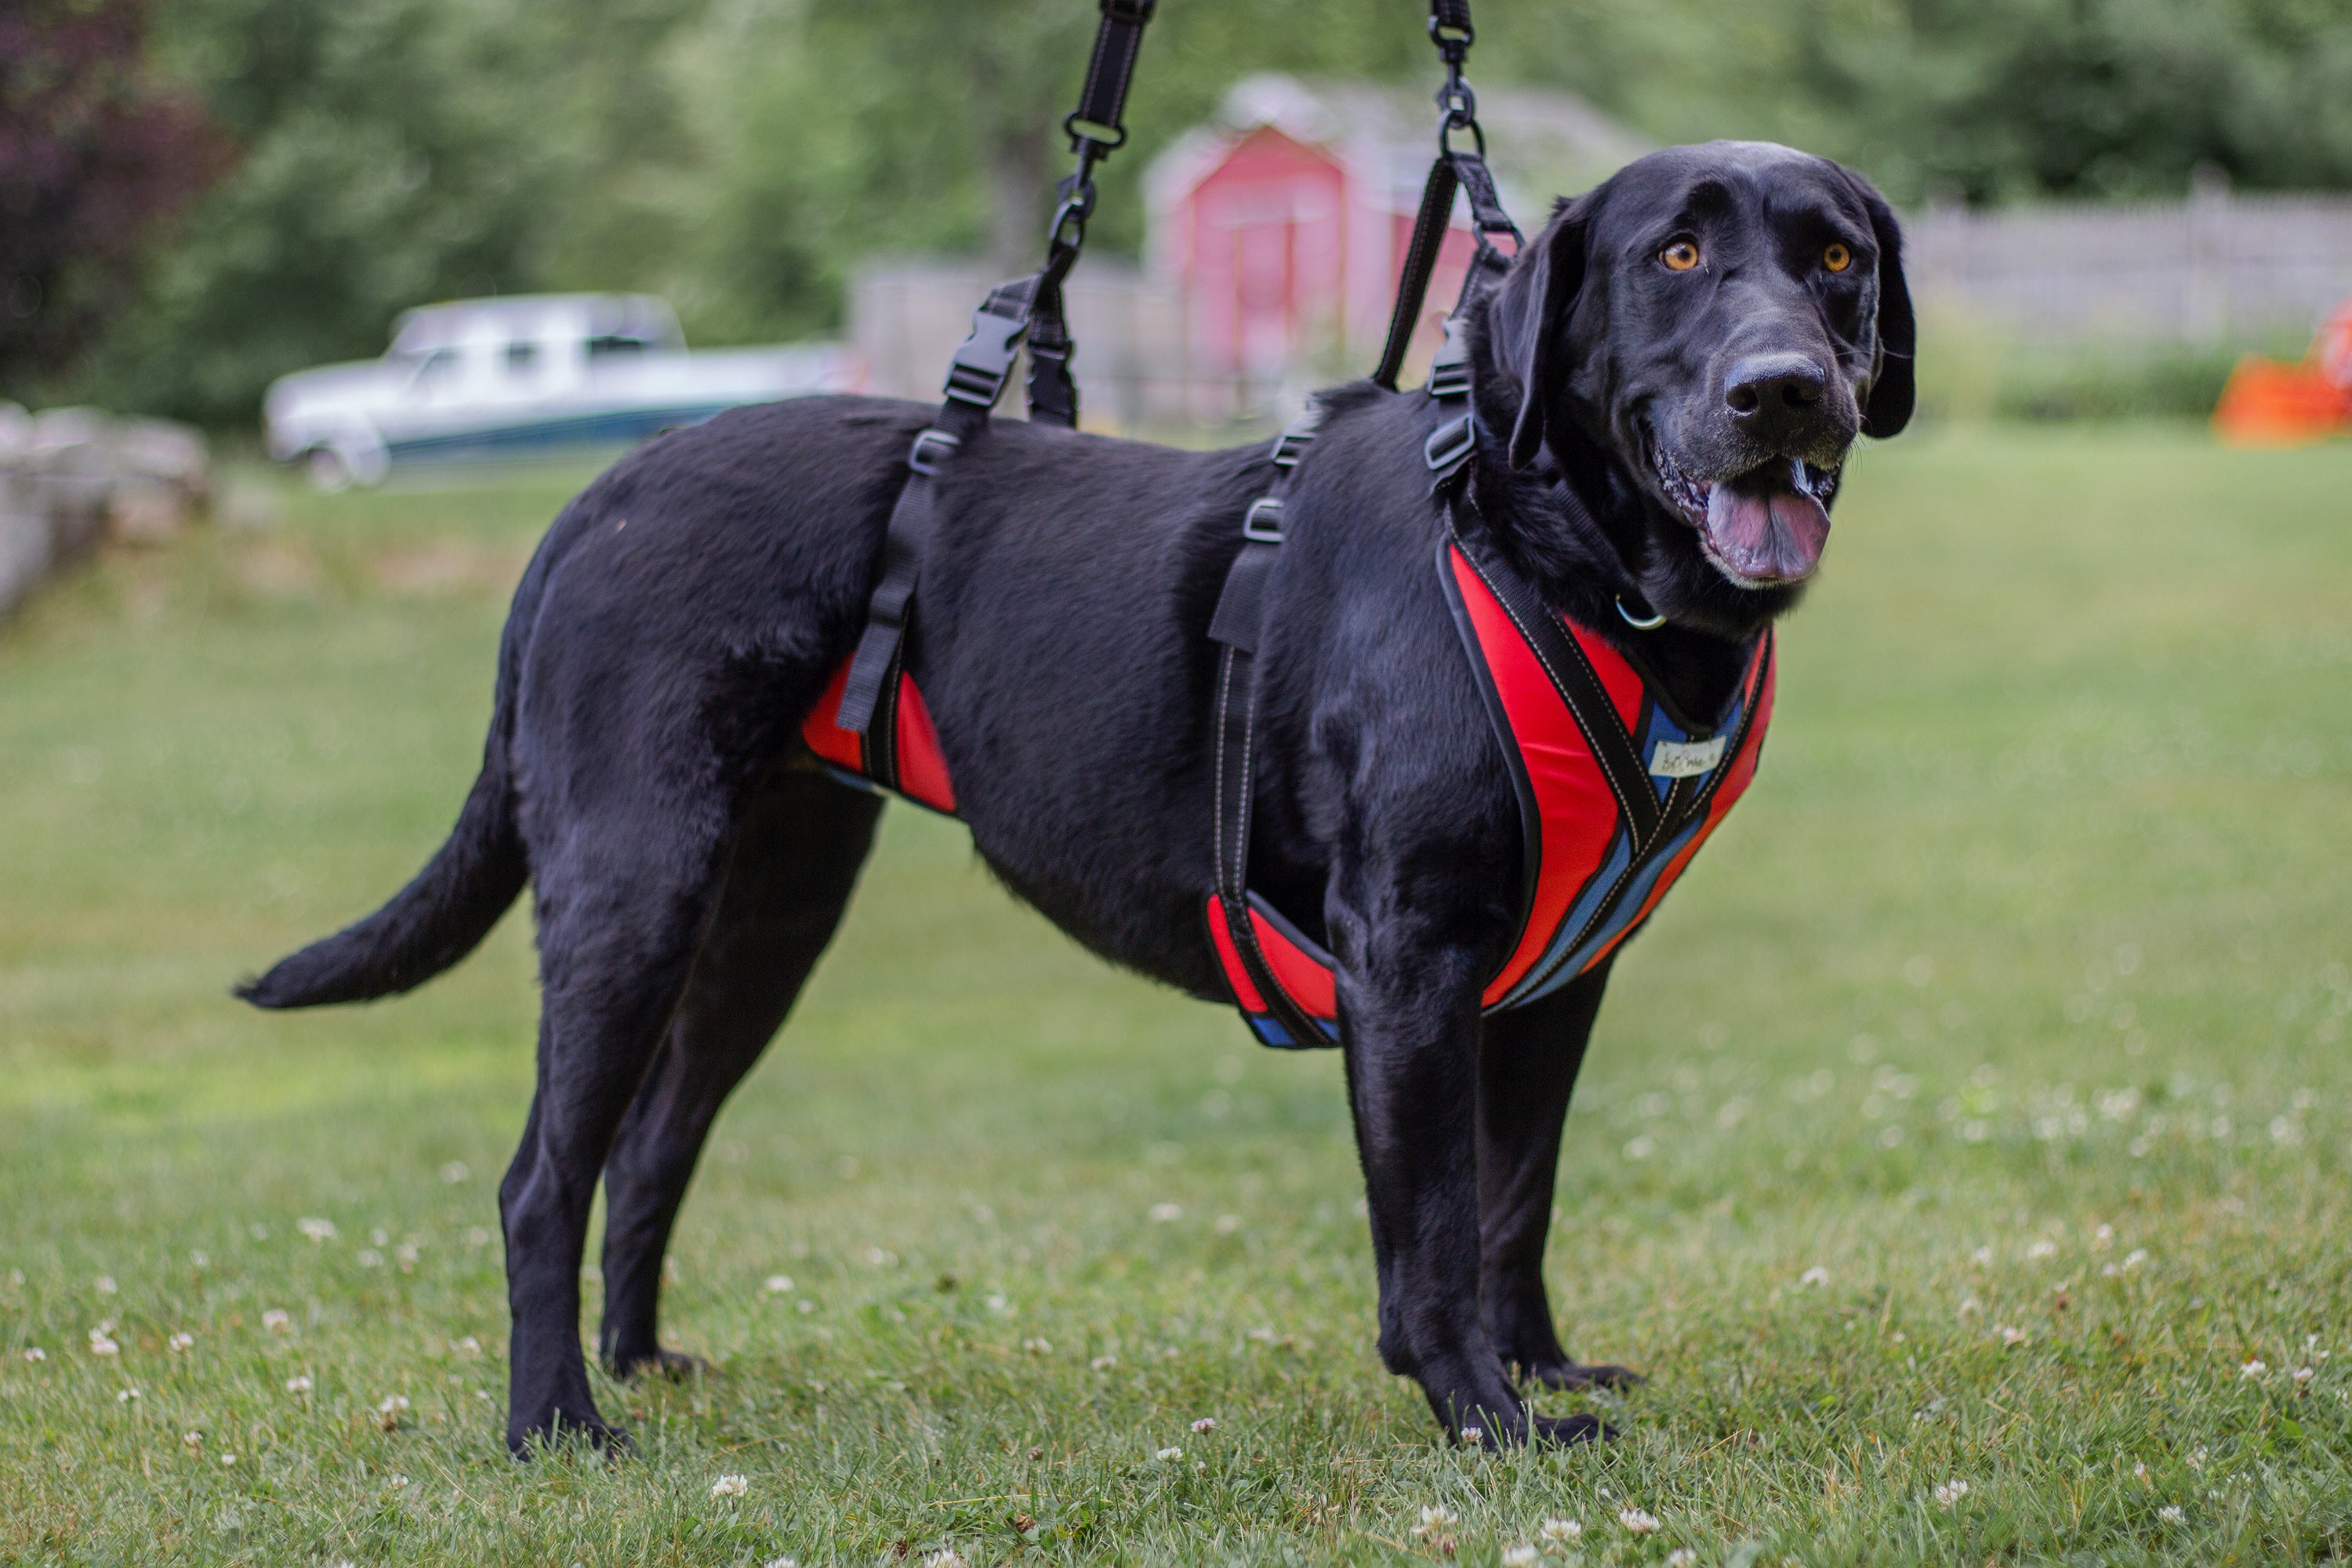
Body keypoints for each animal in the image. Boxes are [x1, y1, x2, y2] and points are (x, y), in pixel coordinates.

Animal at [248, 140, 1919, 1457]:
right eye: (1676, 255)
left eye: (1835, 257)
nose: (1786, 391)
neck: (1541, 549)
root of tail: (599, 495)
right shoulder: (1411, 967)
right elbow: (1437, 1228)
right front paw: (1485, 1416)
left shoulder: (1557, 983)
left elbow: (1519, 1204)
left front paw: (1543, 1368)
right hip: (630, 884)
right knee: (543, 1177)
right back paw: (558, 1425)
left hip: (768, 908)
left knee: (652, 1144)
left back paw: (641, 1365)